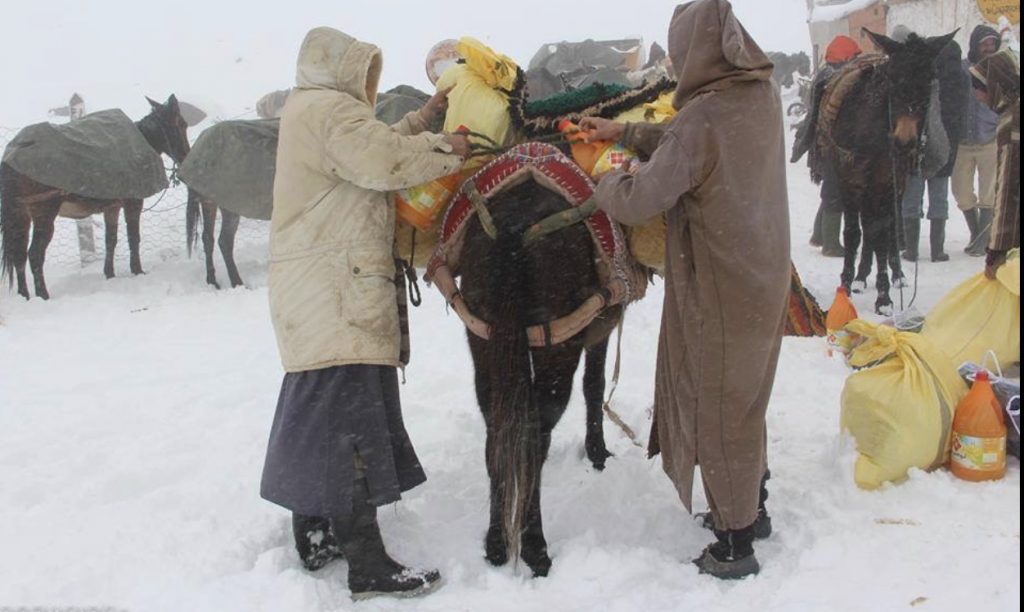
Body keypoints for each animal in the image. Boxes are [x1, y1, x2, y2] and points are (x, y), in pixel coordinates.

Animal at [2, 93, 191, 298]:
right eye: (183, 124)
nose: (187, 156)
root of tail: (15, 153)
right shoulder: (133, 202)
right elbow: (134, 237)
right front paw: (138, 271)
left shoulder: (112, 207)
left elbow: (111, 240)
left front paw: (110, 274)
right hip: (44, 213)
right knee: (35, 254)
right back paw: (43, 295)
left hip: (21, 215)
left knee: (19, 255)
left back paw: (24, 296)